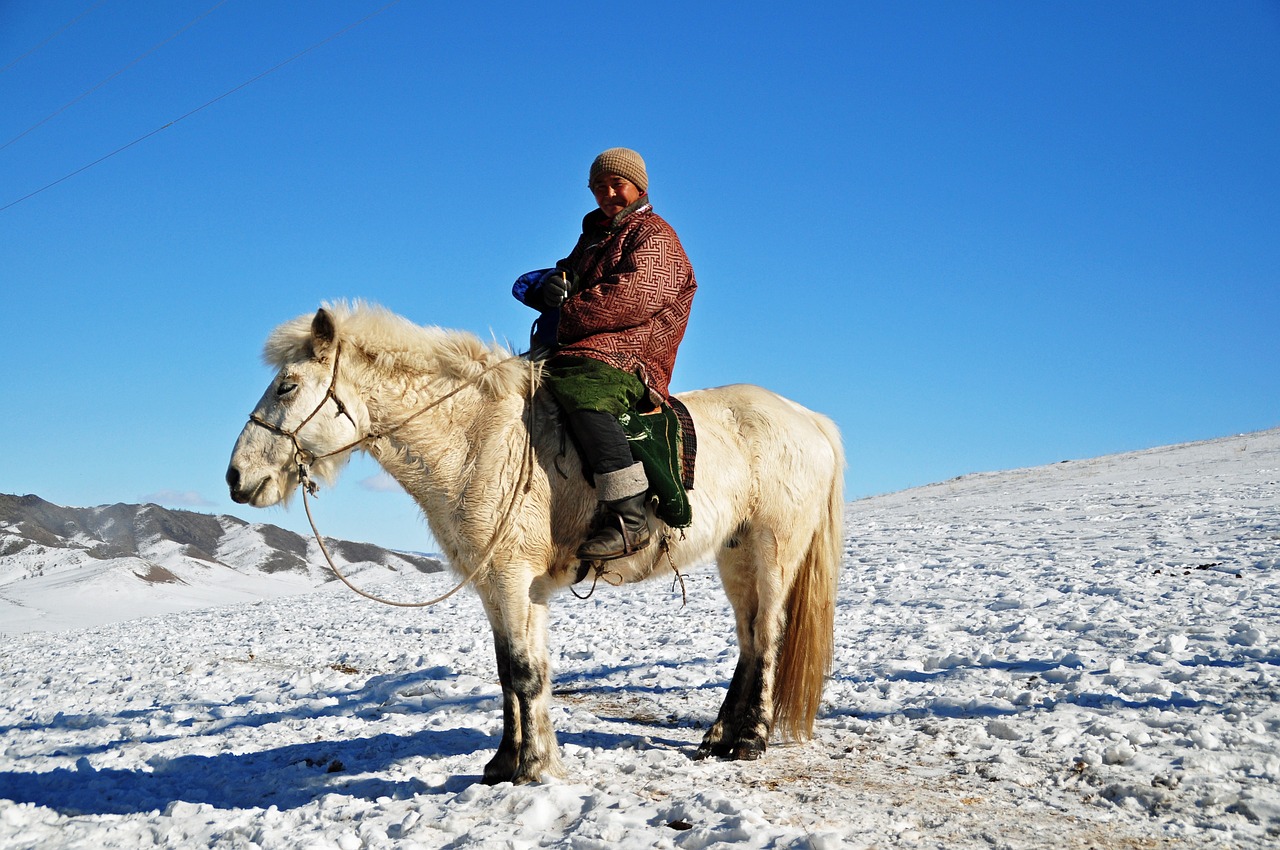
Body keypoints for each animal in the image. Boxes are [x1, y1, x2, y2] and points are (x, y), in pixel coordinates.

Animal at [225, 303, 844, 783]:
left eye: (287, 385)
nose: (236, 477)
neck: (476, 440)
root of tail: (809, 419)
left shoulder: (511, 578)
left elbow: (525, 672)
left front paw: (532, 769)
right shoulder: (504, 588)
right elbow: (513, 671)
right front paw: (510, 762)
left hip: (773, 548)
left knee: (768, 633)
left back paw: (751, 740)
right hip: (735, 553)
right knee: (747, 636)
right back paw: (717, 736)